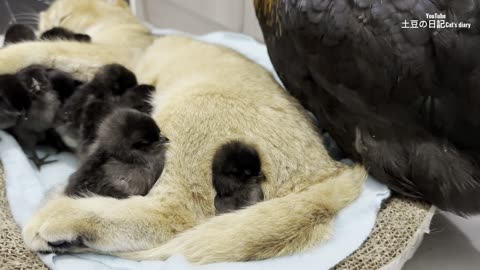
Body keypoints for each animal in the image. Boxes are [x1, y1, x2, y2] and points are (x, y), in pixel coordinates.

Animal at [0, 0, 368, 264]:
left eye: (60, 12)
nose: (46, 21)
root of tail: (330, 172)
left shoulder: (103, 53)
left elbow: (36, 49)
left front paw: (10, 54)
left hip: (186, 118)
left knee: (167, 217)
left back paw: (61, 219)